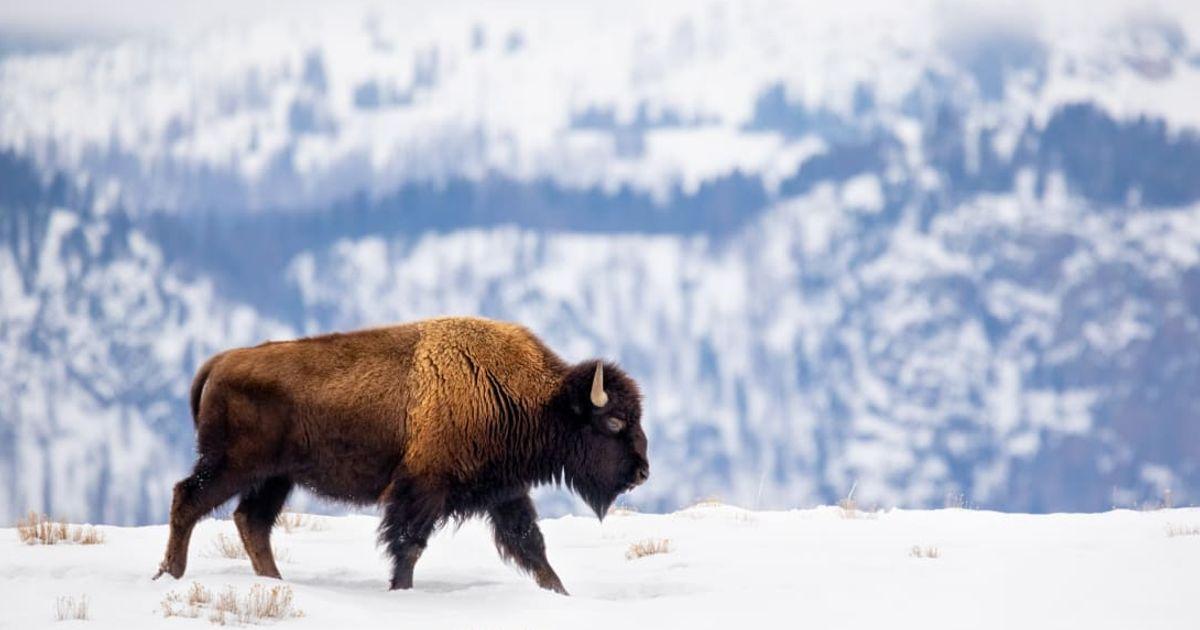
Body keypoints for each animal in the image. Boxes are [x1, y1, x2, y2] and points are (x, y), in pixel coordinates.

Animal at [153, 316, 648, 594]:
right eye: (614, 422)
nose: (642, 471)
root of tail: (218, 363)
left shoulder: (504, 493)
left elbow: (532, 547)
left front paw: (561, 594)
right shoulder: (422, 490)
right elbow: (409, 545)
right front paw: (401, 591)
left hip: (275, 477)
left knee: (251, 520)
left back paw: (272, 581)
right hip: (233, 466)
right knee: (189, 499)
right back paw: (170, 575)